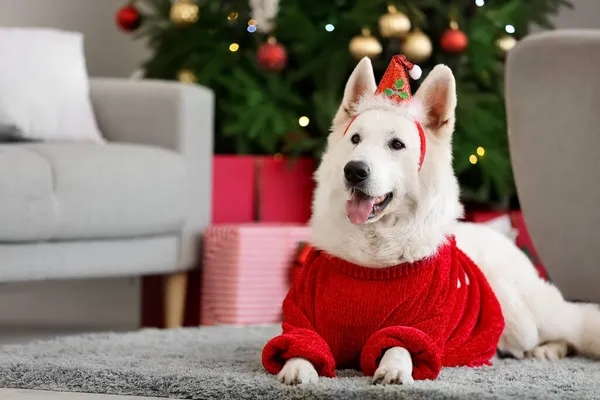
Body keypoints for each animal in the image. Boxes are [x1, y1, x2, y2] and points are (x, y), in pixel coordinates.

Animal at [274, 58, 600, 384]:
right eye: (355, 139)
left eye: (396, 144)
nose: (354, 171)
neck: (374, 261)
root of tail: (500, 236)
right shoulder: (302, 316)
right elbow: (301, 343)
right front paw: (297, 367)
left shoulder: (421, 324)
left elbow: (400, 344)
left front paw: (394, 367)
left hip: (528, 316)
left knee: (576, 322)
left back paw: (550, 349)